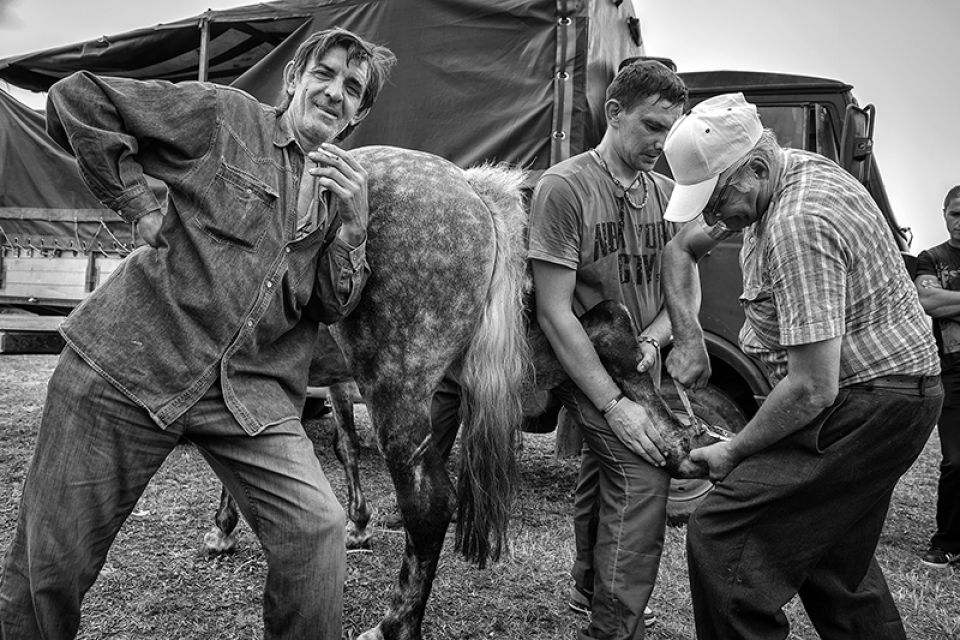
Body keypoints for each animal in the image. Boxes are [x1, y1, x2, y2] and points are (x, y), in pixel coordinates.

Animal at [205, 145, 724, 640]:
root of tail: (474, 192)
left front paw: (225, 530)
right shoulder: (311, 380)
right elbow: (335, 445)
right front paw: (354, 524)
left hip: (398, 382)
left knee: (430, 505)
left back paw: (395, 625)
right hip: (519, 355)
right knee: (606, 327)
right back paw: (674, 441)